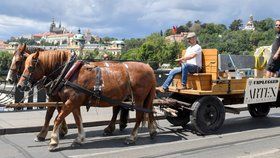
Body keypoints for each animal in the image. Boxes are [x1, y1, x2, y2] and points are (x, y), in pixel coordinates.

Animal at [17, 50, 158, 151]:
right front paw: (79, 138)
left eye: (30, 67)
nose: (20, 85)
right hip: (142, 98)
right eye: (24, 65)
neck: (68, 72)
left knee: (139, 116)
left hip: (139, 98)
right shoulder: (73, 102)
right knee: (148, 110)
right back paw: (152, 131)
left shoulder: (72, 101)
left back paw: (132, 137)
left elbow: (57, 118)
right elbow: (77, 120)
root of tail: (149, 68)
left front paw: (53, 141)